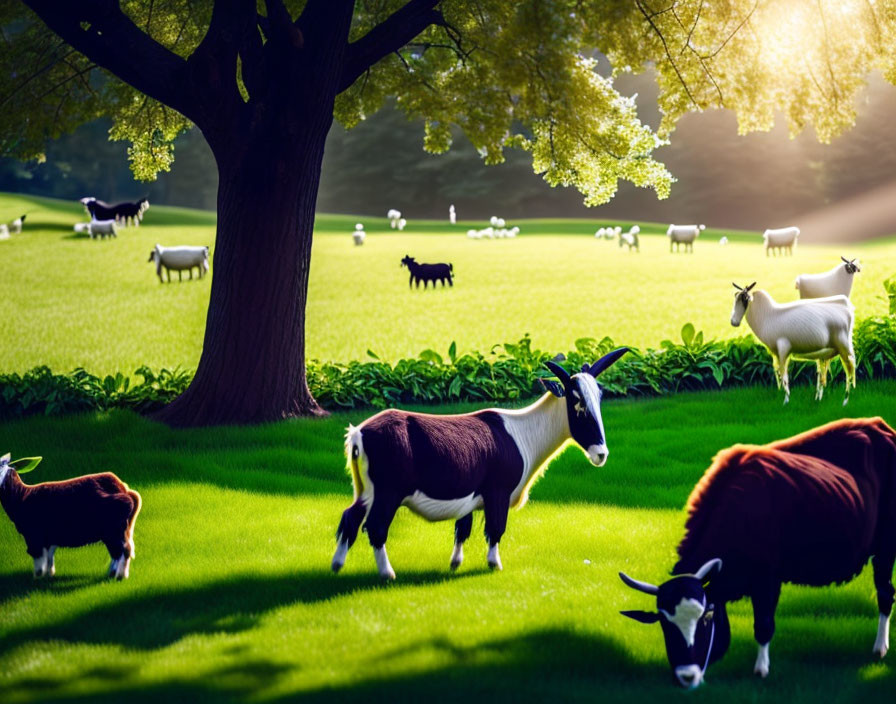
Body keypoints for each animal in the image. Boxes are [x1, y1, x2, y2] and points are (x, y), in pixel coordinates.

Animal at [328, 350, 632, 580]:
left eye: (599, 398)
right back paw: (387, 573)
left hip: (367, 490)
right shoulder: (497, 492)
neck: (523, 432)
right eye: (577, 401)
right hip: (388, 491)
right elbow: (495, 529)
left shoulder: (472, 495)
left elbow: (463, 528)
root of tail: (359, 433)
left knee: (350, 516)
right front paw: (494, 564)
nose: (600, 454)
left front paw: (455, 563)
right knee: (376, 527)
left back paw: (337, 565)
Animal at [620, 418, 896, 688]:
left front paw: (761, 669)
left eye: (704, 618)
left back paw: (879, 648)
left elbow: (763, 625)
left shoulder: (768, 580)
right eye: (665, 623)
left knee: (885, 593)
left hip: (885, 547)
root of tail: (880, 426)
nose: (687, 676)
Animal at [728, 282, 856, 404]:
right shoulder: (776, 353)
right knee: (824, 375)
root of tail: (846, 306)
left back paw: (845, 401)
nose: (734, 322)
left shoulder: (783, 349)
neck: (768, 315)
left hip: (844, 347)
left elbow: (784, 376)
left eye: (744, 299)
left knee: (849, 371)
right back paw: (819, 399)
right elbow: (780, 375)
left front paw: (786, 401)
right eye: (735, 298)